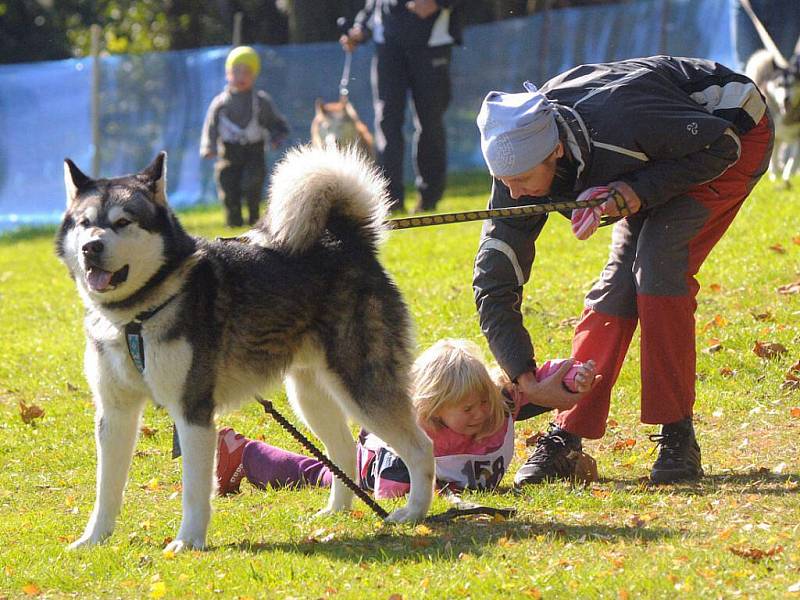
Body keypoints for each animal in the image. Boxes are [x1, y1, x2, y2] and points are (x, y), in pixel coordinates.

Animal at [57, 143, 434, 552]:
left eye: (124, 221)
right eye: (85, 223)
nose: (92, 247)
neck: (136, 315)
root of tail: (344, 239)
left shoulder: (192, 411)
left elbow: (194, 490)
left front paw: (187, 542)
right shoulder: (115, 413)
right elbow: (106, 489)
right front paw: (93, 539)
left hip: (362, 387)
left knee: (421, 447)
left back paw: (414, 513)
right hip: (309, 395)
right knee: (344, 451)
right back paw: (335, 513)